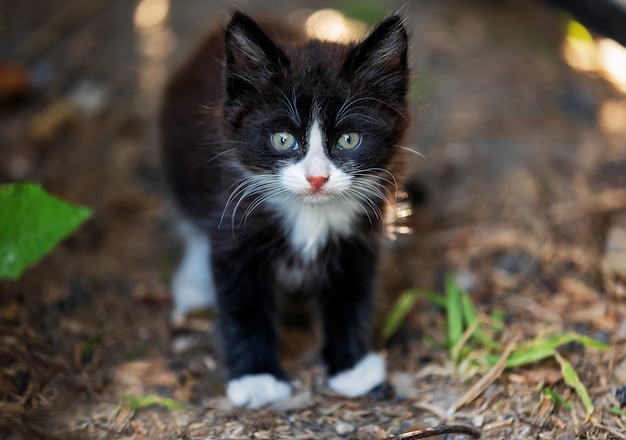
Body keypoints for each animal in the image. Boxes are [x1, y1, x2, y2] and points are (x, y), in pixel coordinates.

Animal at [158, 11, 408, 410]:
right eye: (283, 139)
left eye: (348, 139)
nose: (317, 178)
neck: (309, 212)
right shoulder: (234, 220)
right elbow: (243, 304)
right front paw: (257, 379)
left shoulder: (361, 234)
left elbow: (352, 295)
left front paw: (351, 367)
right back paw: (195, 283)